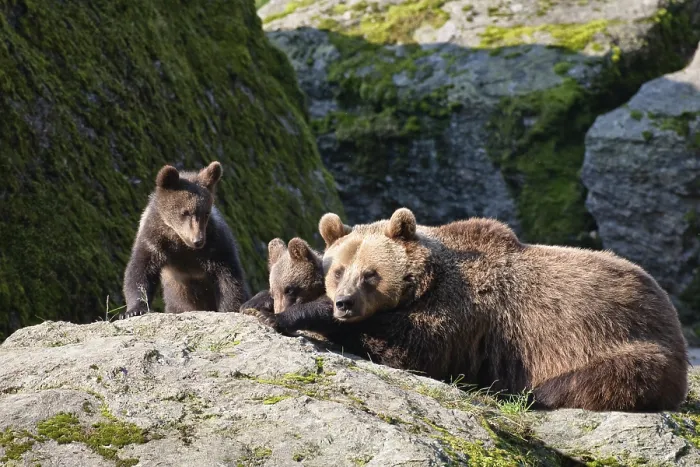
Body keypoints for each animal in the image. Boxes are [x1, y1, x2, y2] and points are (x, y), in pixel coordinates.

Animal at [121, 161, 250, 318]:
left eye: (206, 213)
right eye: (185, 212)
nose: (198, 240)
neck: (180, 243)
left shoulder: (216, 245)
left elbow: (228, 279)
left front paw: (230, 308)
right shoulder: (153, 240)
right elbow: (140, 271)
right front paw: (134, 310)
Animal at [247, 207, 689, 412]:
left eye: (371, 274)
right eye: (338, 271)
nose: (344, 303)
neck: (428, 281)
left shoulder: (467, 316)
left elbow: (407, 347)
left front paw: (290, 314)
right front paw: (261, 302)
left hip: (624, 341)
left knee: (591, 380)